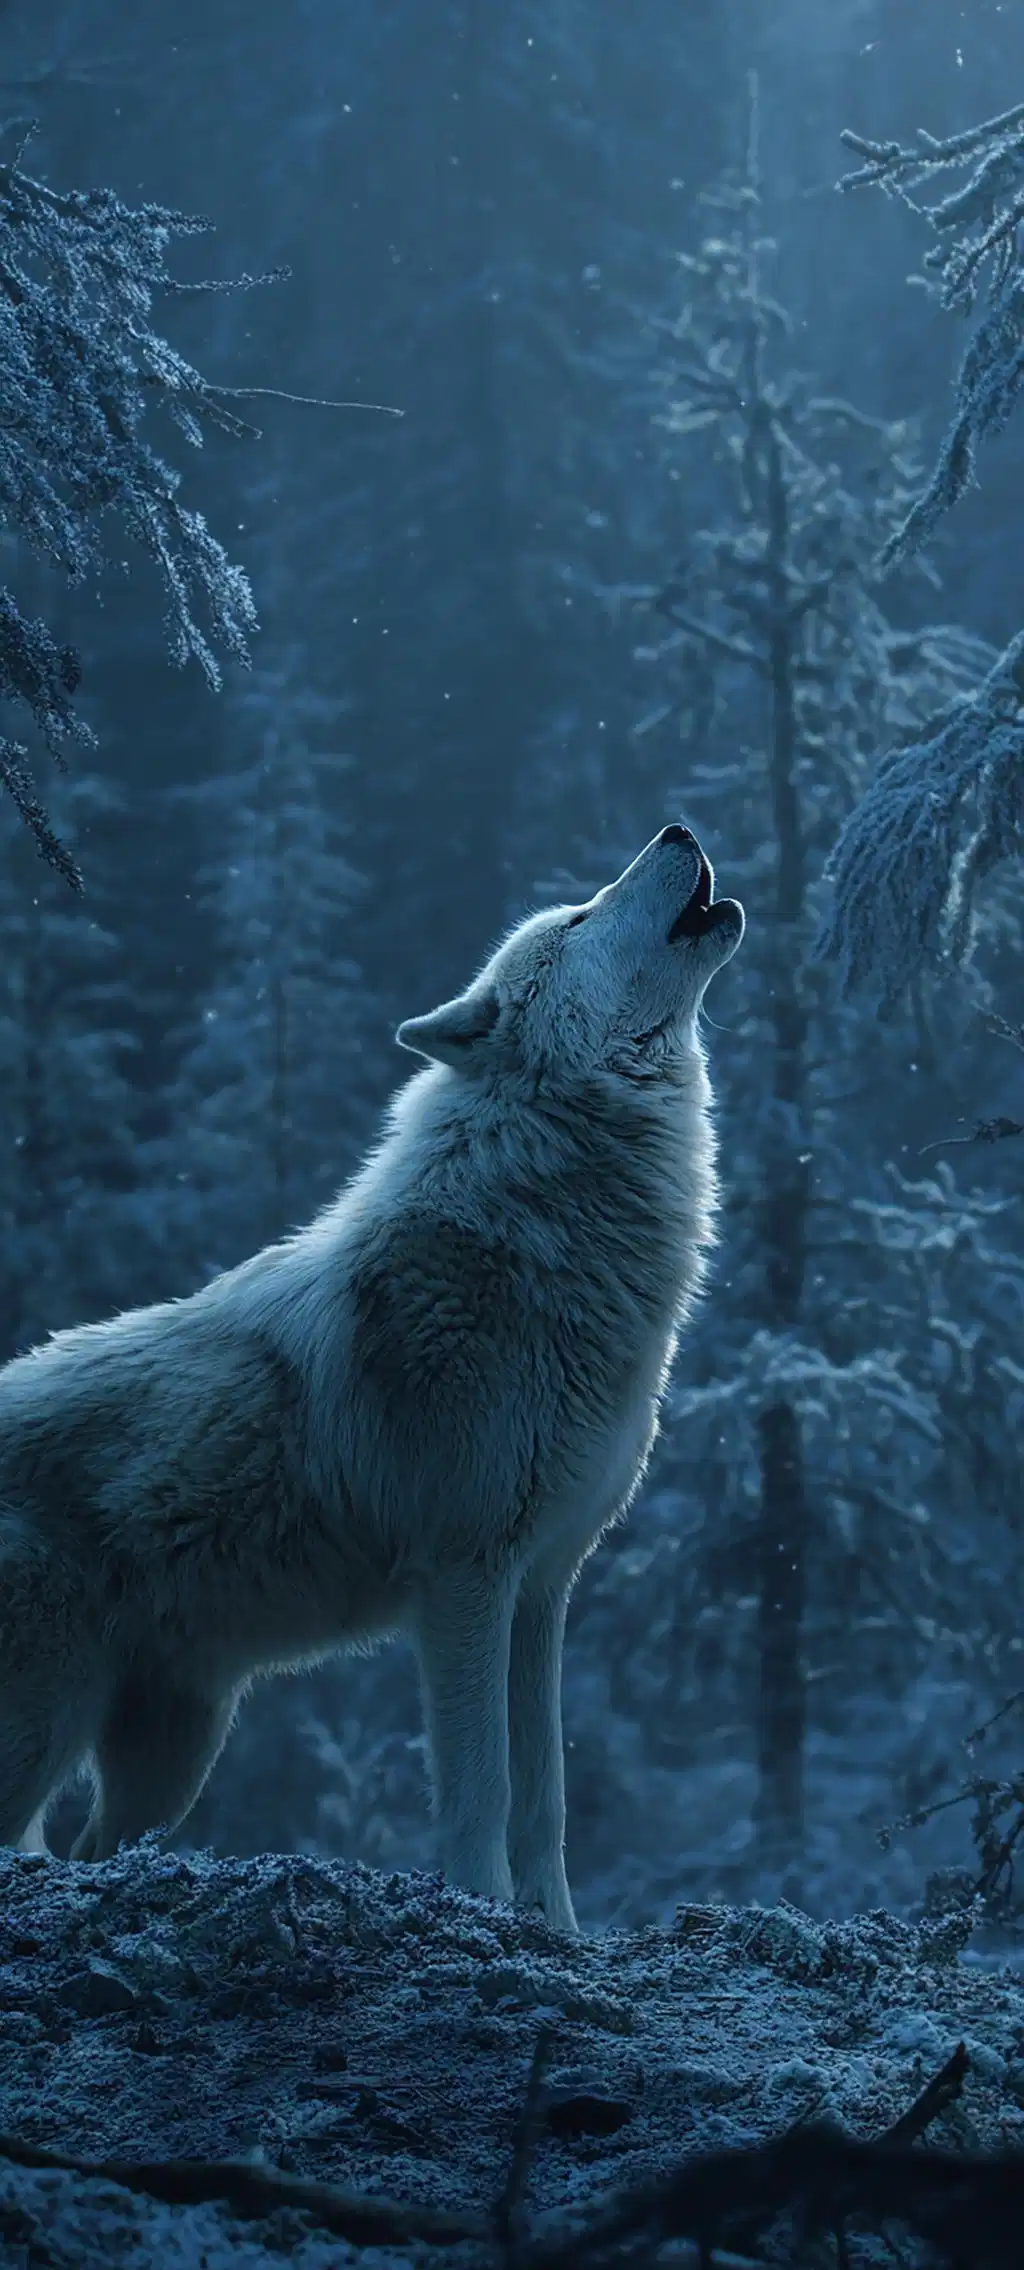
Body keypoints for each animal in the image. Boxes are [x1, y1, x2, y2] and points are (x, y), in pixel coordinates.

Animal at [0, 824, 742, 1930]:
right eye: (578, 916)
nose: (677, 830)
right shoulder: (464, 1579)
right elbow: (484, 1789)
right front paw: (485, 1914)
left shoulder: (542, 1588)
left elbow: (547, 1797)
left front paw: (558, 1931)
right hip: (50, 1724)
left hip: (173, 1751)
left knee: (94, 1850)